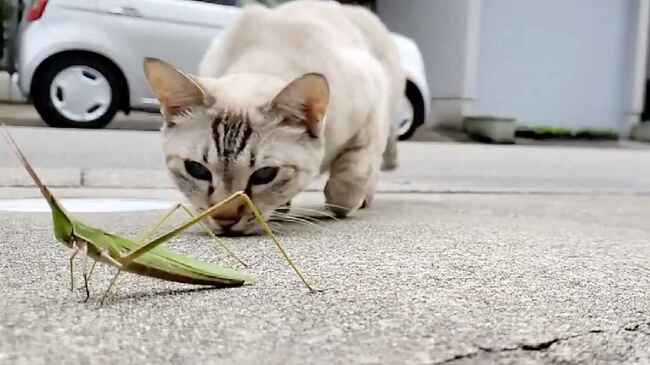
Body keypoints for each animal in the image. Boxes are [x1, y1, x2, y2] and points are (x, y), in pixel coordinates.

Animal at [144, 0, 402, 233]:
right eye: (196, 169)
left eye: (264, 175)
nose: (225, 218)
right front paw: (280, 207)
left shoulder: (372, 106)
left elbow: (351, 176)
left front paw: (343, 201)